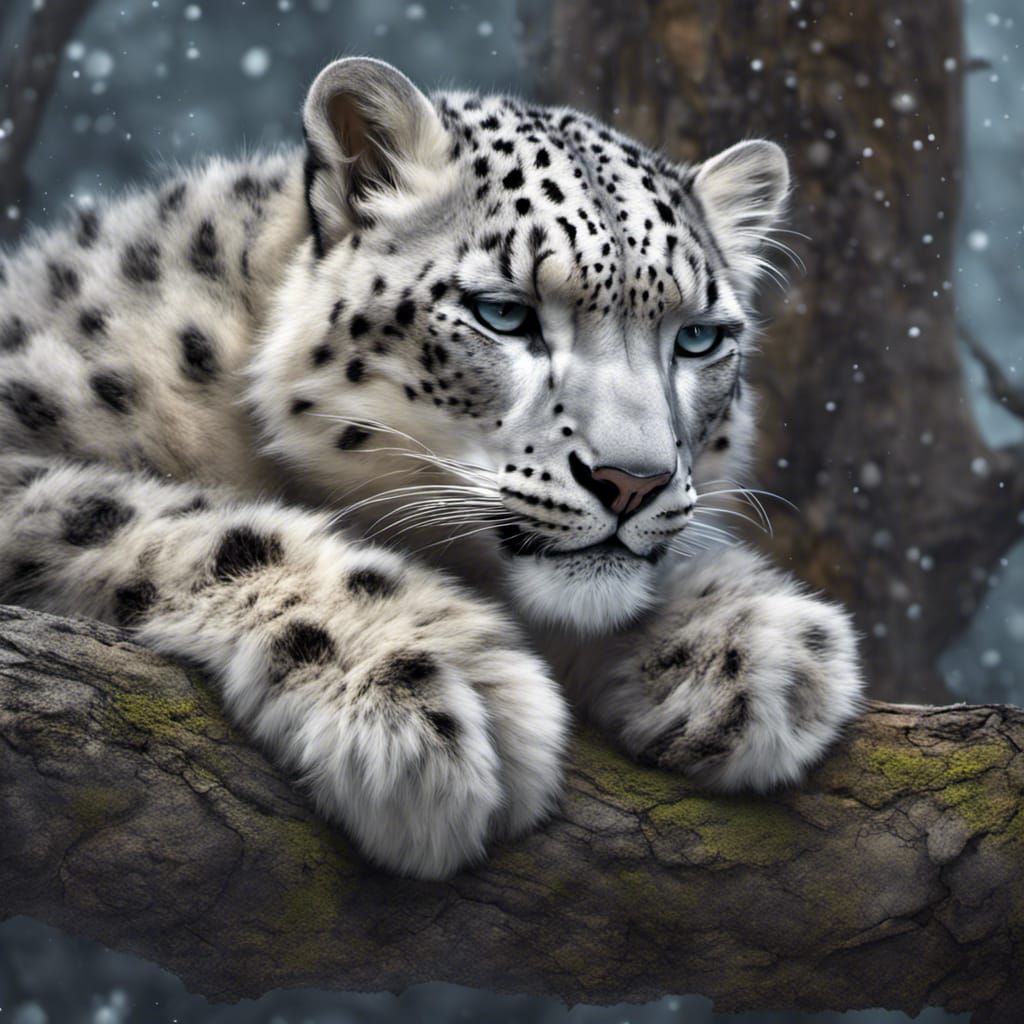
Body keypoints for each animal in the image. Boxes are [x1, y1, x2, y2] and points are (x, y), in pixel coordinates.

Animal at [0, 58, 863, 879]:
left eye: (698, 337)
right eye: (504, 314)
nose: (633, 481)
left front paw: (756, 641)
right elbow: (181, 525)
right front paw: (443, 682)